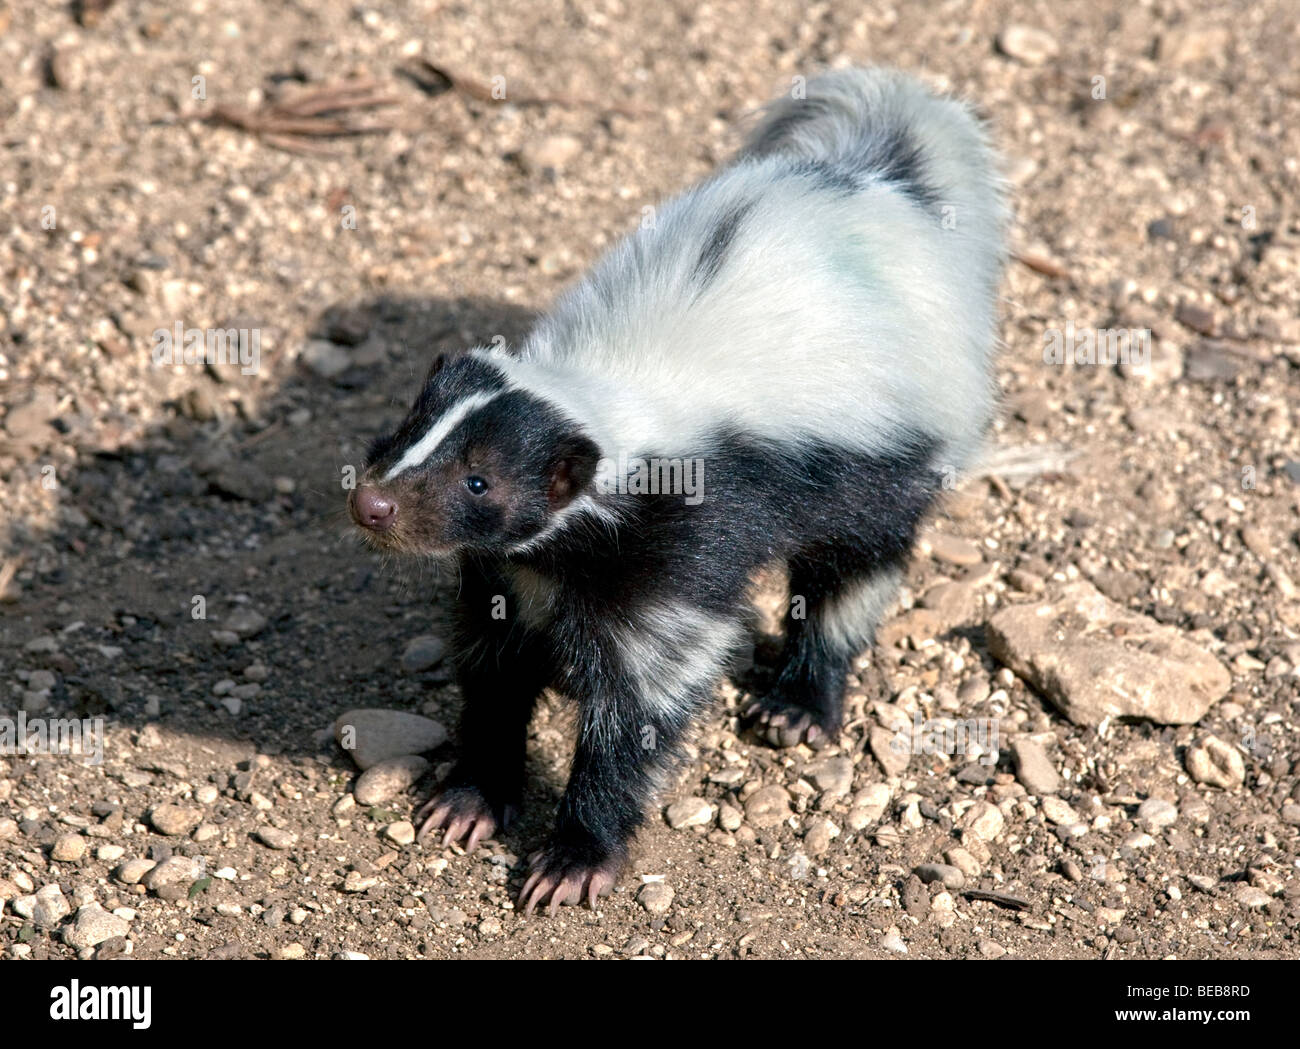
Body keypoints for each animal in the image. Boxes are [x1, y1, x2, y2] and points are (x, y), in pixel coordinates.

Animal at [345, 69, 1003, 915]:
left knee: (852, 573)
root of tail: (883, 182)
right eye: (404, 432)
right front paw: (473, 795)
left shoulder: (682, 539)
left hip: (892, 453)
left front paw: (575, 856)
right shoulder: (516, 569)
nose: (373, 504)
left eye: (480, 480)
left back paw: (798, 702)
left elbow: (644, 700)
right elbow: (496, 667)